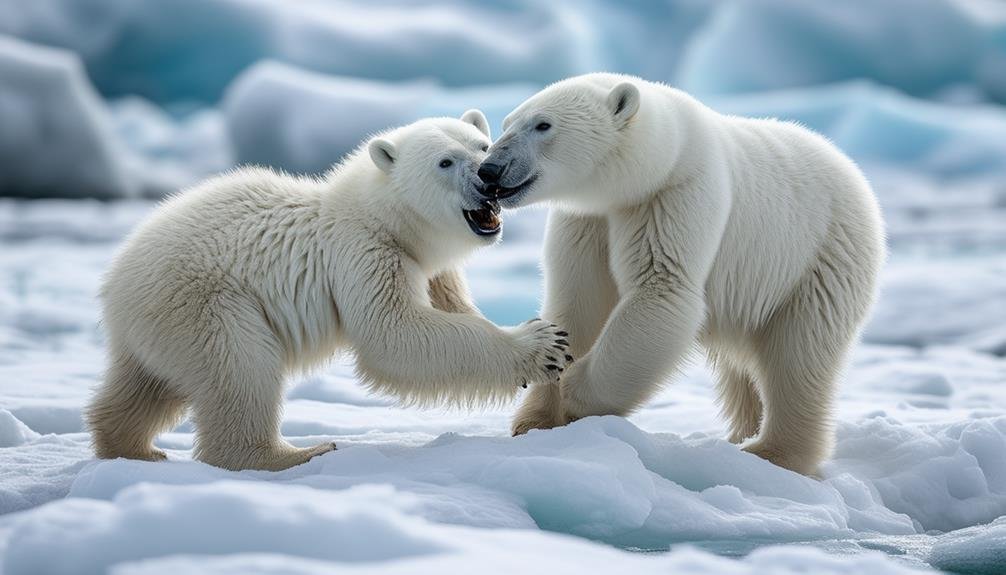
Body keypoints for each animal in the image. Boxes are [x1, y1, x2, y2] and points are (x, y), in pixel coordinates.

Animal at [84, 113, 575, 472]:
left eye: (481, 147)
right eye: (445, 162)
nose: (487, 178)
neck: (385, 217)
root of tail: (114, 287)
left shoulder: (432, 269)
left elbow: (452, 310)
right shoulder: (363, 254)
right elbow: (393, 335)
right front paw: (542, 344)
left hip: (160, 325)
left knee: (146, 386)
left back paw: (133, 447)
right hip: (206, 303)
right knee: (242, 370)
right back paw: (292, 454)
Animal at [482, 73, 885, 474]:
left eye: (542, 125)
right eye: (506, 125)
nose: (489, 169)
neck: (662, 158)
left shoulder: (673, 197)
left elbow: (662, 291)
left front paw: (574, 394)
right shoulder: (587, 220)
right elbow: (578, 301)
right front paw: (535, 421)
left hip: (817, 260)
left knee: (799, 356)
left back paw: (774, 452)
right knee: (743, 367)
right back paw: (743, 434)